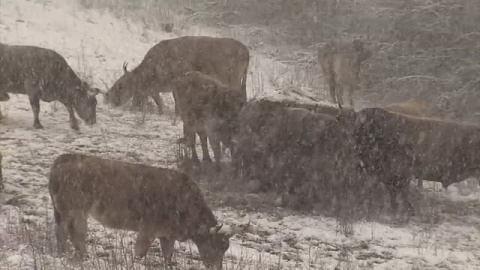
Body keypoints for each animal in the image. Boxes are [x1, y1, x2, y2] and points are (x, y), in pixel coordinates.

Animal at [49, 153, 249, 268]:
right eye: (215, 245)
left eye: (225, 247)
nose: (216, 268)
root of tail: (63, 158)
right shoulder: (148, 229)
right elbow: (140, 252)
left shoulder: (167, 235)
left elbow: (168, 255)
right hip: (75, 210)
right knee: (72, 233)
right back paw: (78, 255)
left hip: (64, 211)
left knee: (64, 232)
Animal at [106, 35, 249, 114]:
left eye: (120, 85)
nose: (108, 97)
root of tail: (245, 50)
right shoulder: (156, 89)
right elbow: (159, 101)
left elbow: (175, 102)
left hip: (232, 80)